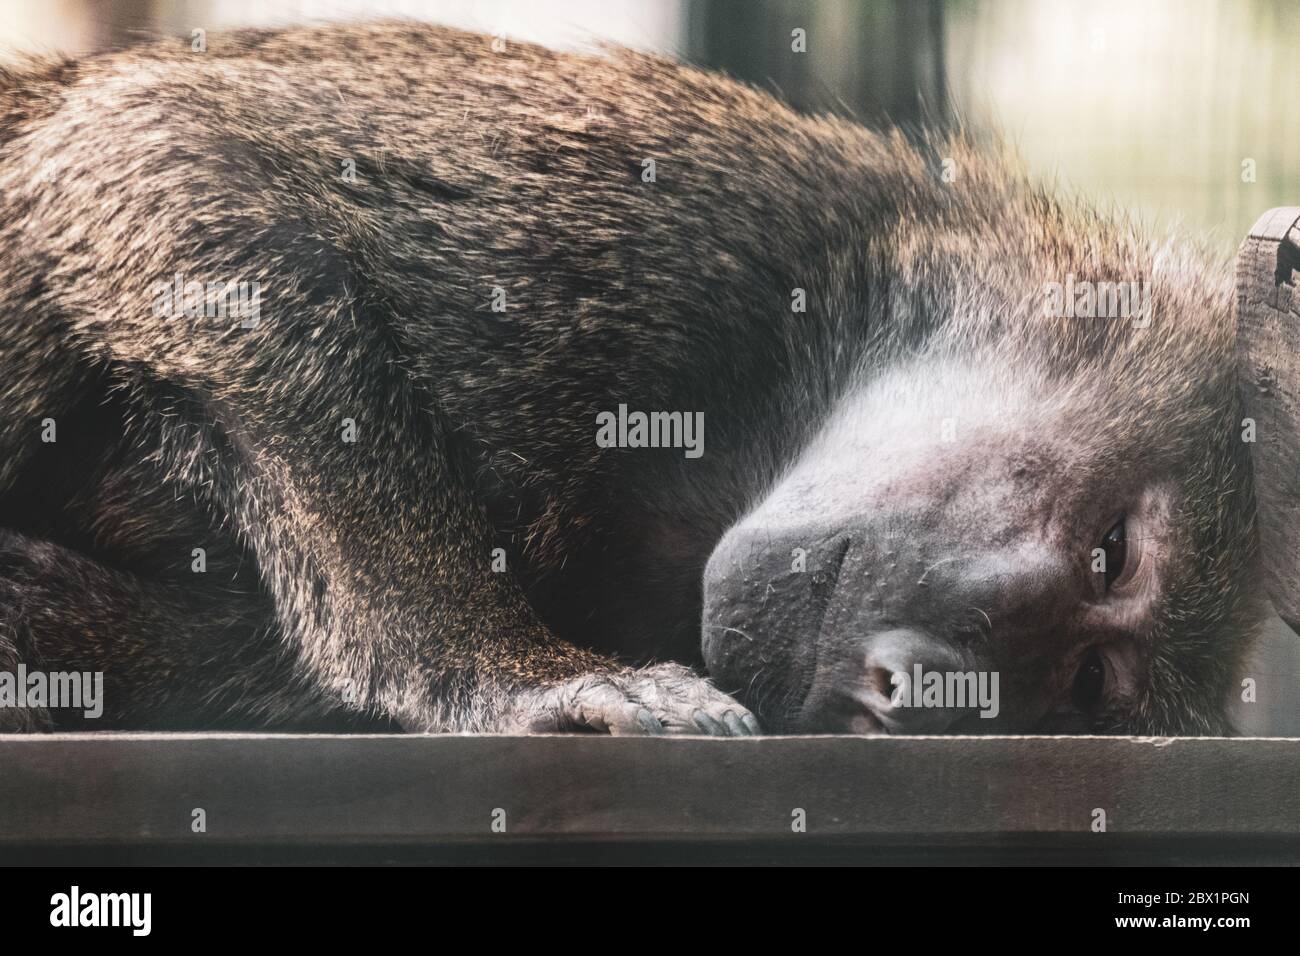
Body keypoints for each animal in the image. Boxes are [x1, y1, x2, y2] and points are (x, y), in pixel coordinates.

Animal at [0, 24, 1284, 738]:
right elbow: (173, 148)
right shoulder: (676, 202)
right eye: (1111, 551)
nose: (917, 686)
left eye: (1083, 683)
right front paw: (498, 672)